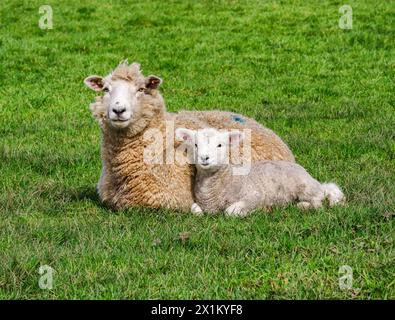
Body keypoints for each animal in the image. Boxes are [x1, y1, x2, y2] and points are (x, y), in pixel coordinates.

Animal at [176, 127, 346, 218]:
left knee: (318, 202)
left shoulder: (254, 195)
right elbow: (195, 210)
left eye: (219, 145)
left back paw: (303, 206)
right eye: (195, 145)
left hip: (305, 186)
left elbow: (230, 211)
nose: (204, 157)